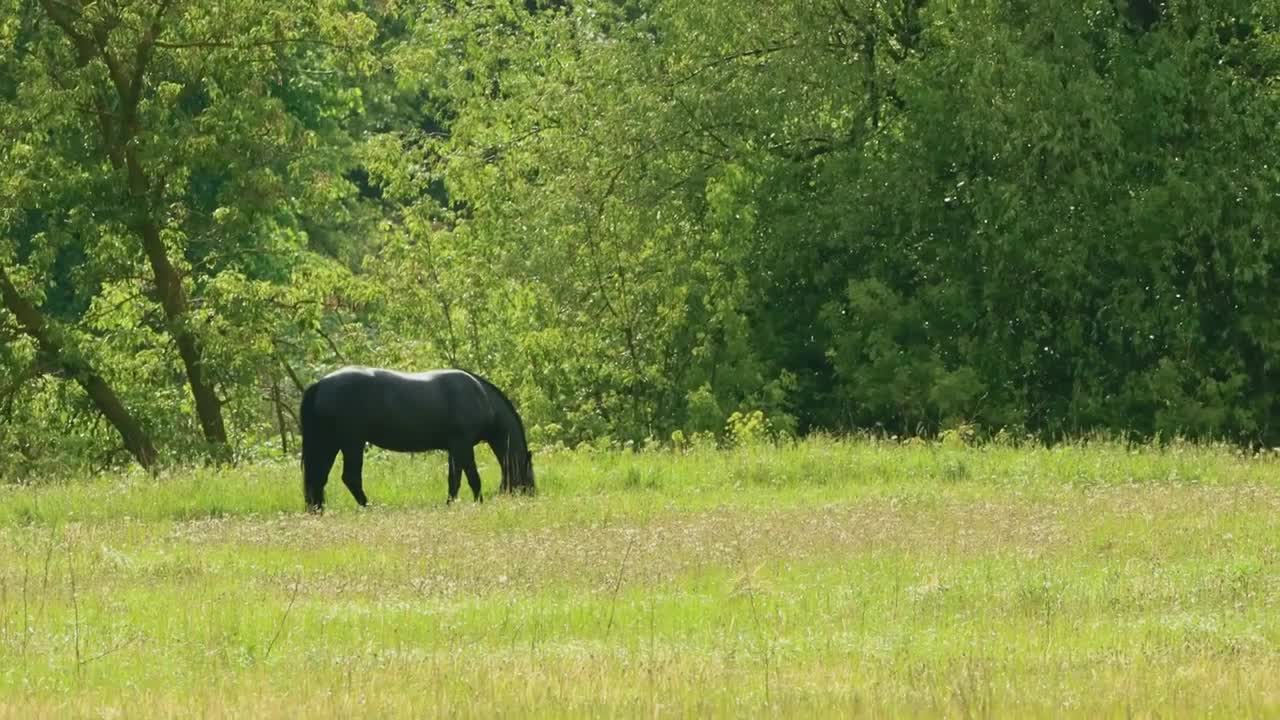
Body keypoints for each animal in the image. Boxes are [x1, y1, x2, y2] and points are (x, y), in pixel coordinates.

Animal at [299, 363, 535, 509]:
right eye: (529, 472)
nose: (532, 496)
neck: (482, 397)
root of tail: (319, 385)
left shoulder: (454, 448)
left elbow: (454, 479)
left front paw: (451, 503)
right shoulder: (463, 445)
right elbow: (473, 478)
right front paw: (479, 502)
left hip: (328, 444)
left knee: (318, 478)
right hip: (351, 443)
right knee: (350, 477)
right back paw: (369, 506)